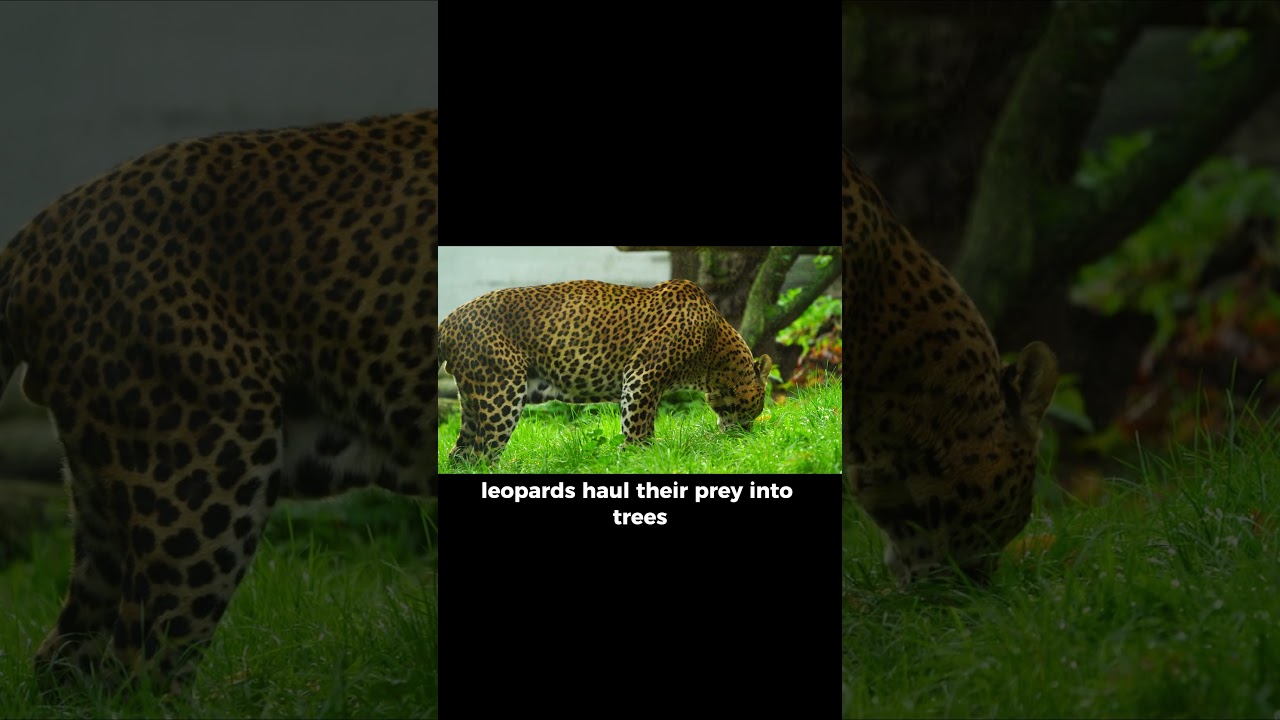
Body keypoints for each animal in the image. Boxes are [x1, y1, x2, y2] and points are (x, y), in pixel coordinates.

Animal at [438, 279, 773, 463]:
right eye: (756, 408)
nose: (747, 436)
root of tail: (447, 321)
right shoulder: (642, 375)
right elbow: (638, 428)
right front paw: (639, 459)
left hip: (473, 401)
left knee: (460, 454)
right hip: (501, 394)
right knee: (483, 456)